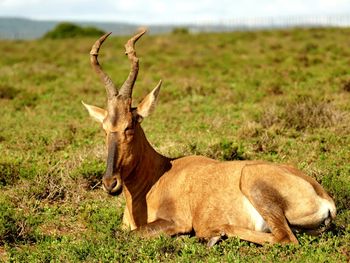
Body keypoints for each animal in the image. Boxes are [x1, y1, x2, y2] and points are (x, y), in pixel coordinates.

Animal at [82, 31, 336, 248]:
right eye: (104, 127)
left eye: (130, 125)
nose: (110, 183)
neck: (160, 173)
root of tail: (326, 199)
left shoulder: (174, 222)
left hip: (253, 182)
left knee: (285, 238)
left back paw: (214, 234)